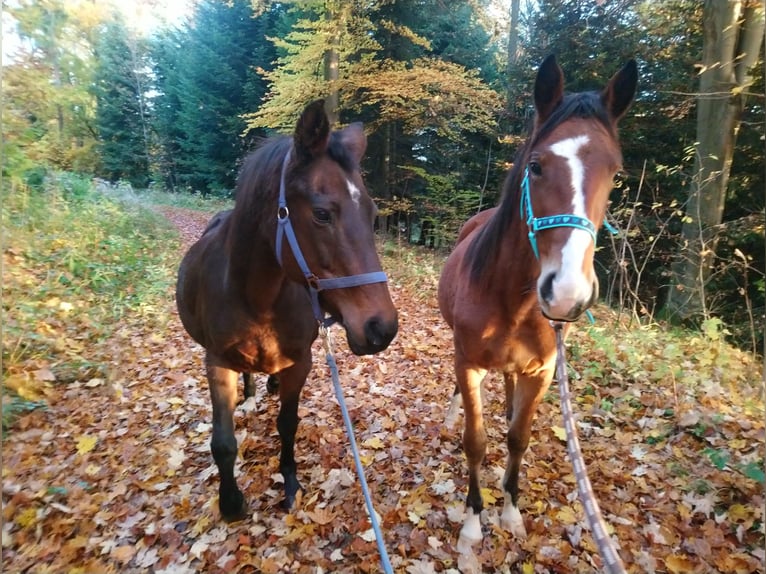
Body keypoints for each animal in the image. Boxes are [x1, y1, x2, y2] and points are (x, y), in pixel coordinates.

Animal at [176, 100, 399, 522]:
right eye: (322, 214)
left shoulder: (301, 363)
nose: (383, 328)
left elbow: (288, 423)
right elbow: (223, 442)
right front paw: (230, 503)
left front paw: (290, 483)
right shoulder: (216, 363)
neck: (257, 299)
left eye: (372, 215)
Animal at [437, 55, 637, 551]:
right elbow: (476, 440)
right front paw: (473, 519)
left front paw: (510, 510)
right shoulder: (468, 363)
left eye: (615, 171)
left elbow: (518, 438)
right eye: (536, 166)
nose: (566, 292)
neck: (515, 303)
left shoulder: (543, 371)